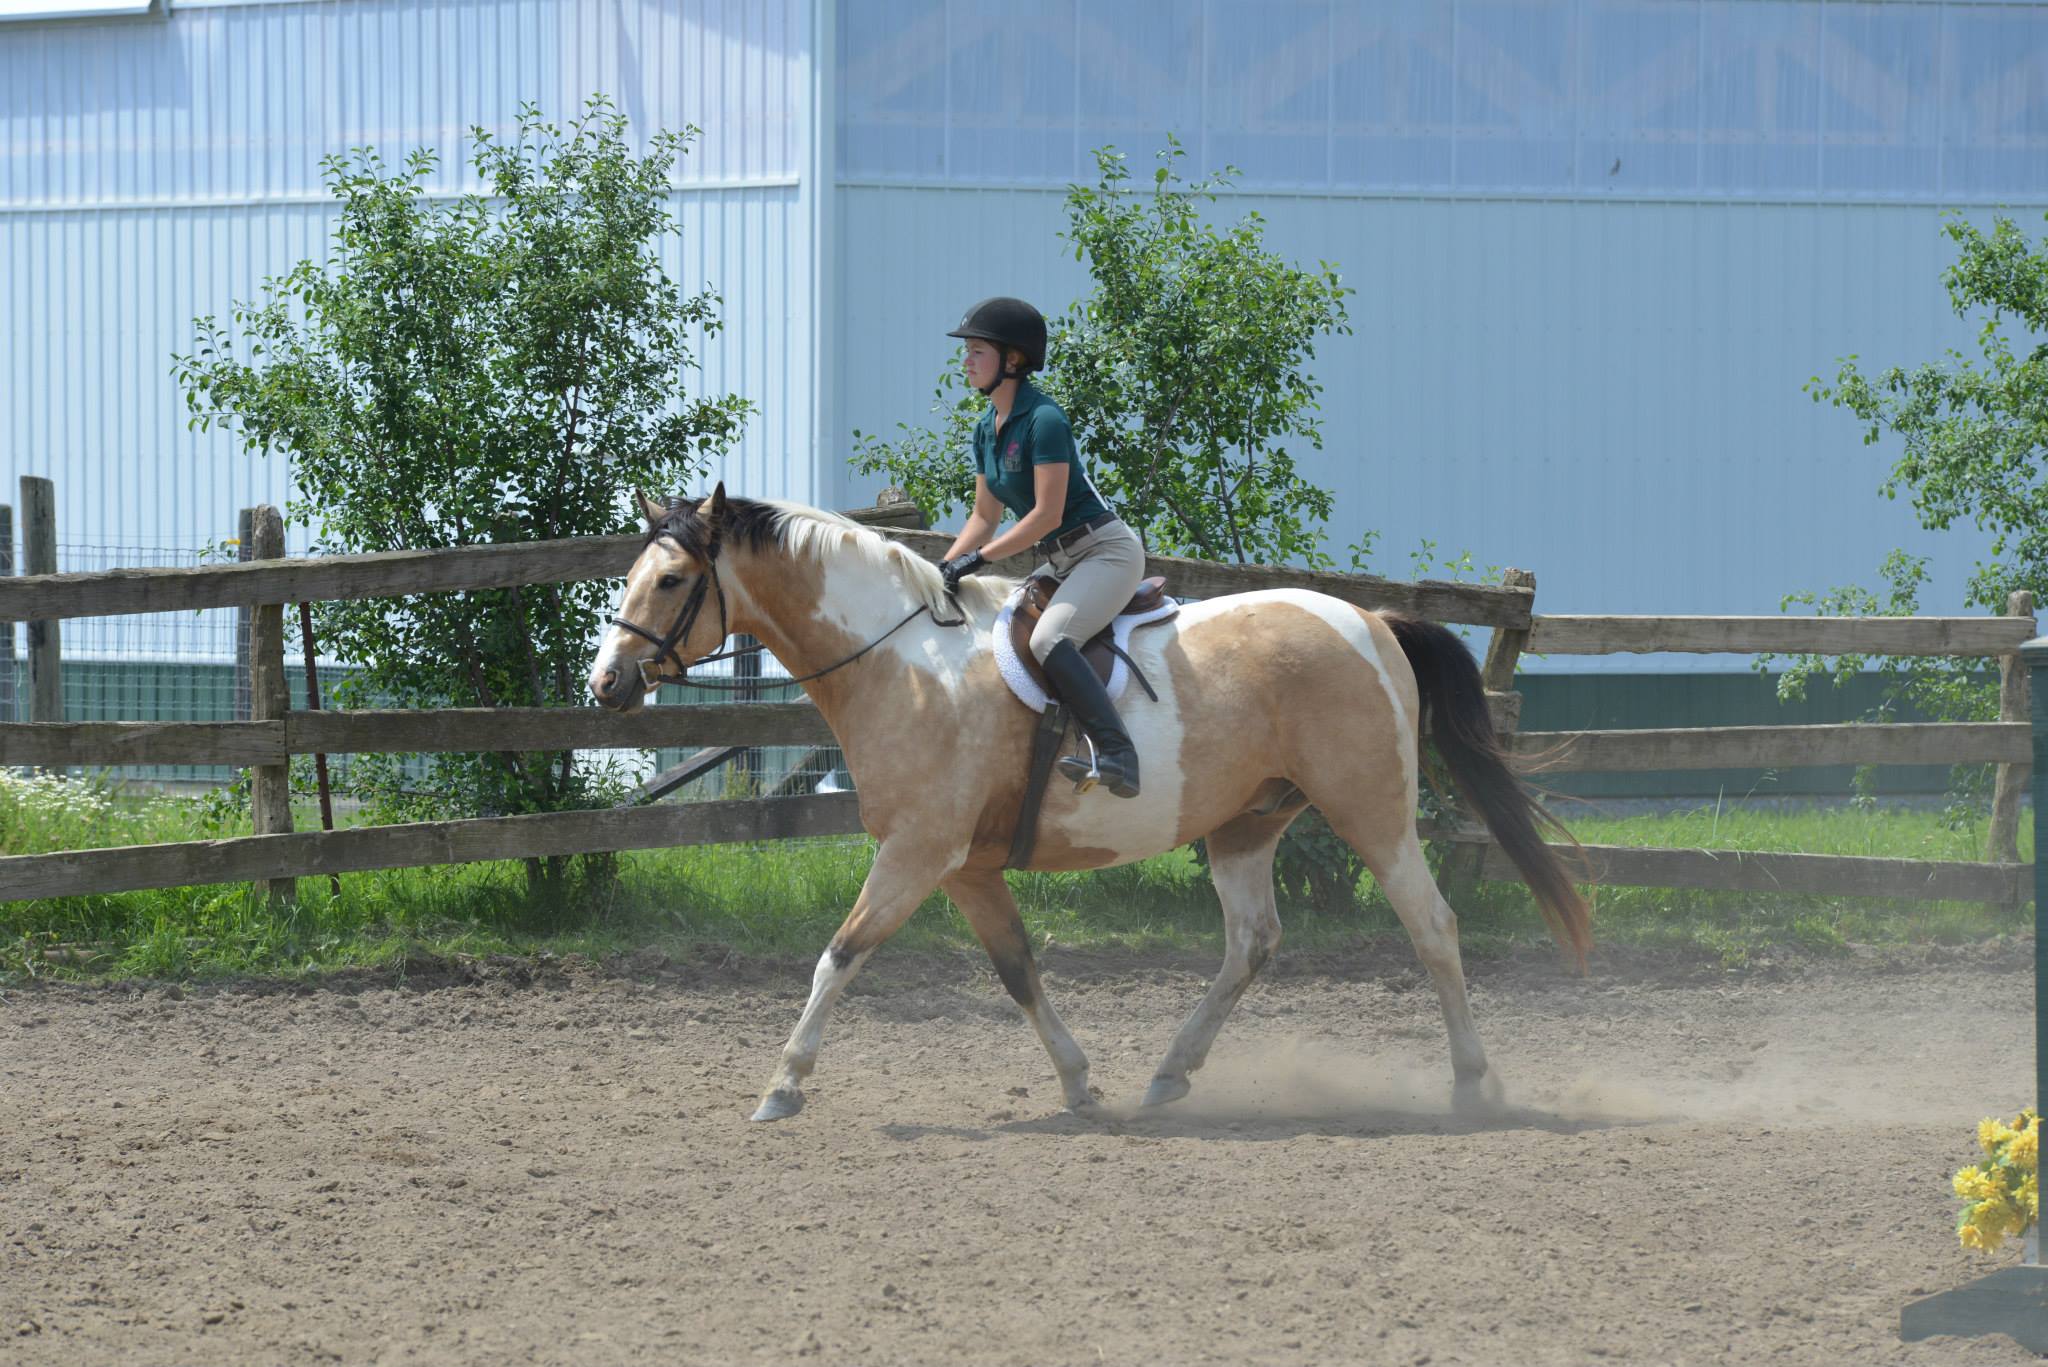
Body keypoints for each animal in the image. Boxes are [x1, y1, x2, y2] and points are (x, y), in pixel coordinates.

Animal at [585, 489, 1589, 1123]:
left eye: (669, 581)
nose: (606, 685)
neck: (901, 665)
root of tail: (1372, 621)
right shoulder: (967, 869)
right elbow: (1019, 970)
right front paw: (1078, 1084)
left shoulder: (916, 852)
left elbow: (840, 954)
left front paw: (783, 1085)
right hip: (1247, 823)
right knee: (1253, 940)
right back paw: (1170, 1073)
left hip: (1369, 812)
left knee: (1433, 926)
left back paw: (1472, 1085)